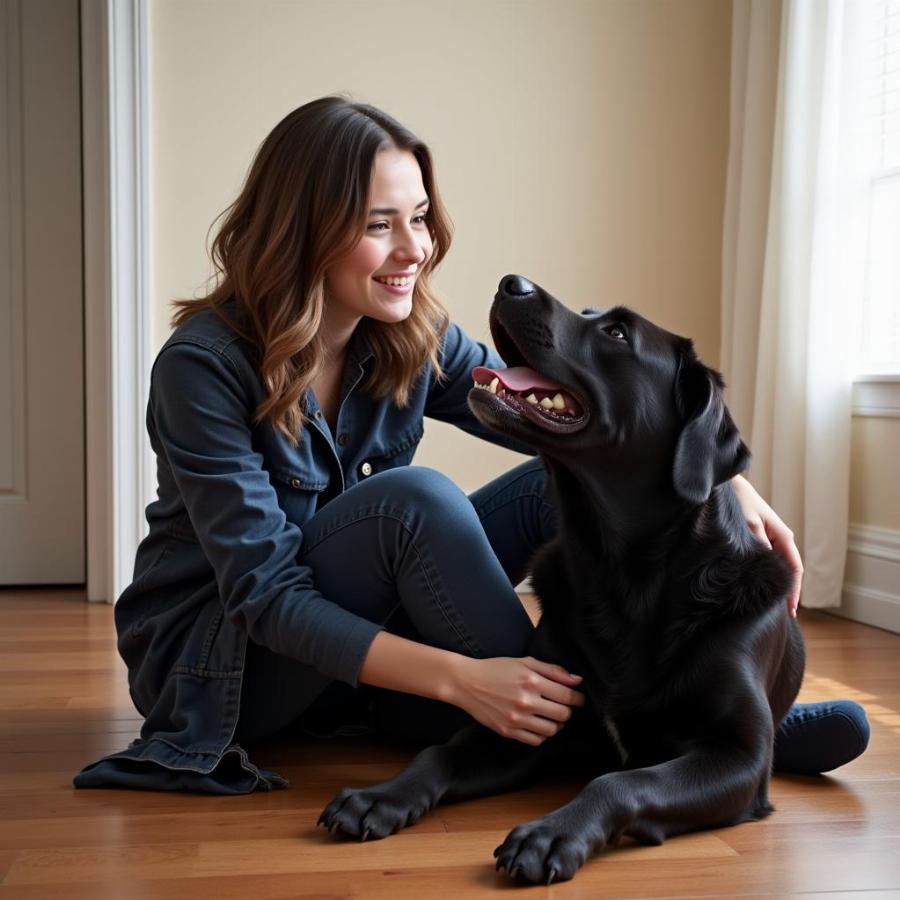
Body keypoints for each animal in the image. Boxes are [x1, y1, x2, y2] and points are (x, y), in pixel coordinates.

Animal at [316, 276, 800, 884]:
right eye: (590, 314)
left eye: (616, 332)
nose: (511, 283)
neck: (623, 571)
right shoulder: (536, 717)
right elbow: (440, 752)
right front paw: (381, 796)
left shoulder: (739, 755)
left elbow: (623, 779)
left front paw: (551, 834)